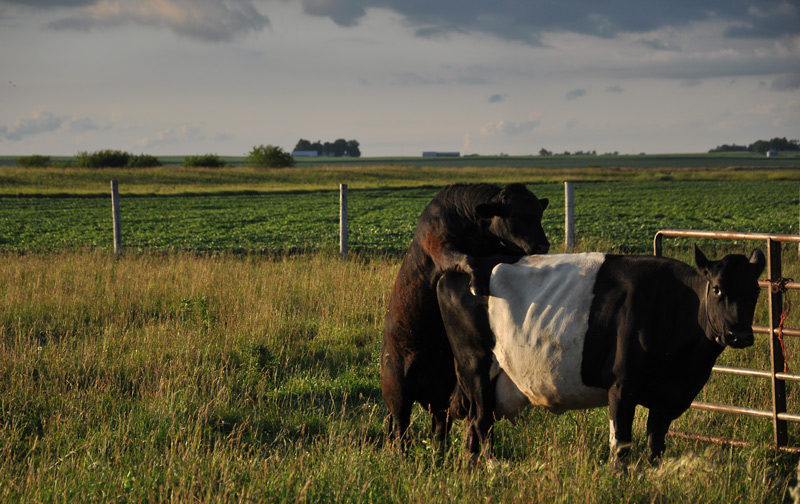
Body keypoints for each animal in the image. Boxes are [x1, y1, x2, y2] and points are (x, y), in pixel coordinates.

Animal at [381, 183, 551, 449]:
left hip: (440, 401)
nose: (543, 246)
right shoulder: (443, 249)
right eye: (517, 215)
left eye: (539, 214)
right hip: (397, 392)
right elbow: (467, 260)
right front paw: (477, 285)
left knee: (439, 428)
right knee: (400, 429)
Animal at [436, 246, 766, 468]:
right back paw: (494, 469)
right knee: (481, 422)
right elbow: (620, 447)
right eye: (717, 289)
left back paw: (471, 470)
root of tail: (457, 272)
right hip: (476, 368)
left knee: (473, 425)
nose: (740, 335)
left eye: (755, 292)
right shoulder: (622, 387)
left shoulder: (666, 400)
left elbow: (655, 447)